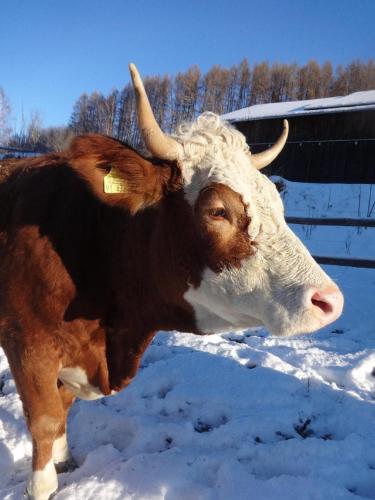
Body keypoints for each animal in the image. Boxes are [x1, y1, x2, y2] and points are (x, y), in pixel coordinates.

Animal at [0, 64, 344, 498]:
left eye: (278, 204)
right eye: (217, 211)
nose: (329, 301)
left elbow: (63, 414)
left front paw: (66, 461)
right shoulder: (28, 346)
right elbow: (45, 423)